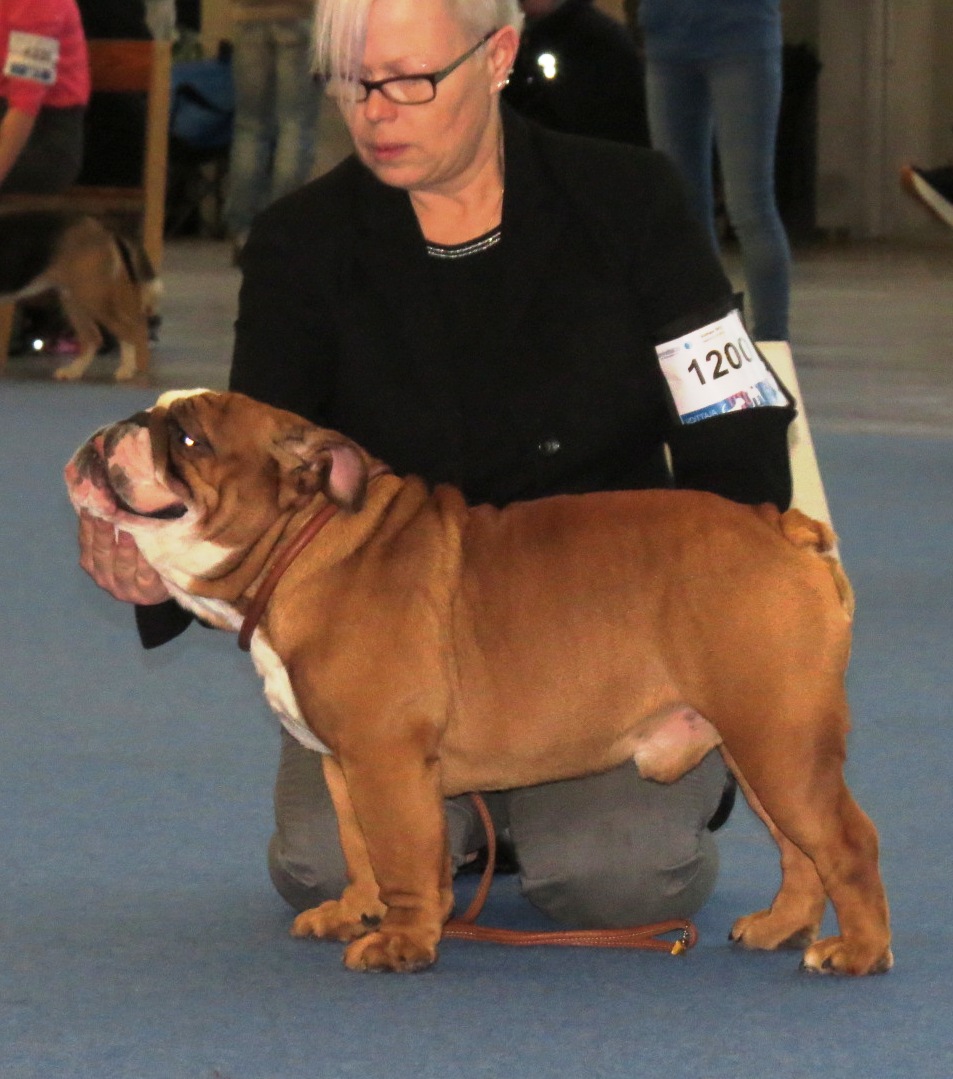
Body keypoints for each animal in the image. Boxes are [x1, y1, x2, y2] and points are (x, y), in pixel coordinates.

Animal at [0, 208, 159, 381]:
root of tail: (100, 227)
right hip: (74, 300)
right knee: (93, 338)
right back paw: (74, 371)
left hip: (93, 297)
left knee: (128, 331)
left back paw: (126, 370)